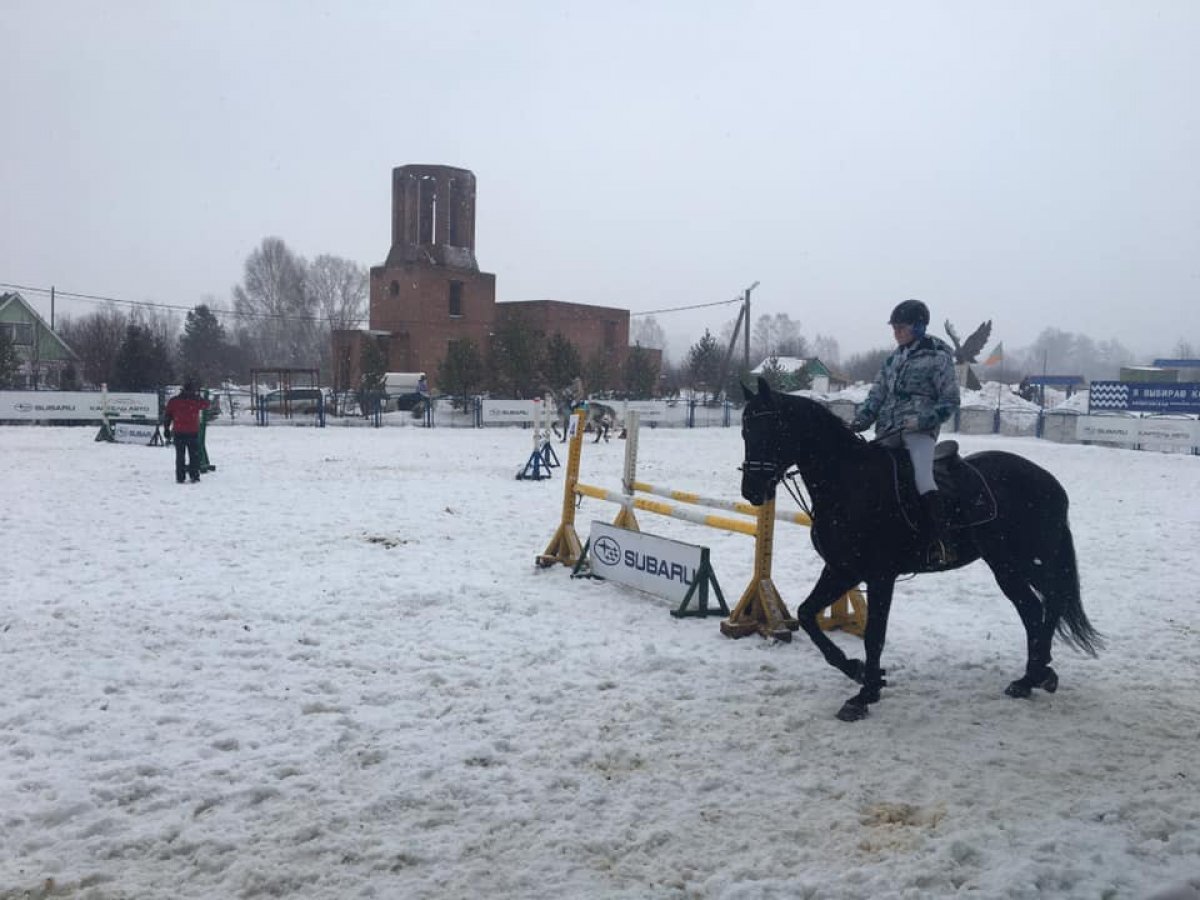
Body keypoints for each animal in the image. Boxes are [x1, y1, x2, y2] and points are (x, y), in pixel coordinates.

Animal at [734, 376, 1099, 724]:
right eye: (745, 431)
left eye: (773, 428)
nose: (752, 490)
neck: (849, 482)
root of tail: (1049, 481)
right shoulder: (841, 569)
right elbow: (808, 614)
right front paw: (858, 671)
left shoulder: (879, 576)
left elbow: (874, 635)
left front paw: (864, 695)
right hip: (1004, 566)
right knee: (1032, 610)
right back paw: (1030, 678)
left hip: (1030, 560)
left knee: (1052, 601)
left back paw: (1038, 674)